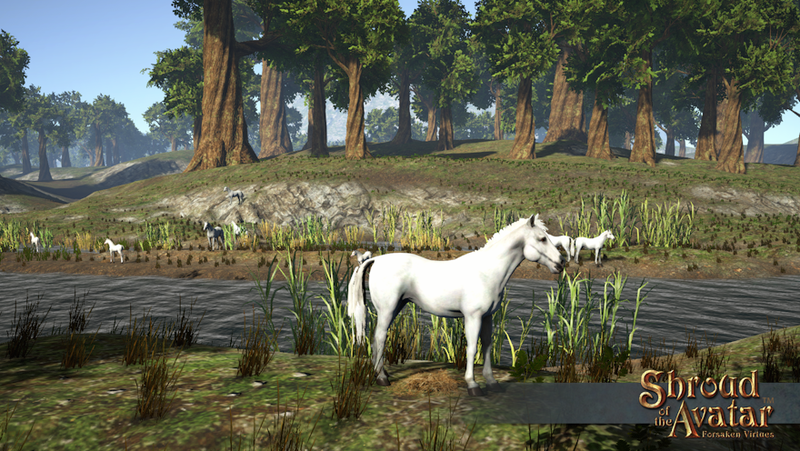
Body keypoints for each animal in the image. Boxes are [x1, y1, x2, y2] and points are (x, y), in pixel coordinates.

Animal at [347, 214, 564, 396]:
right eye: (542, 239)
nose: (561, 263)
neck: (487, 272)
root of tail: (376, 259)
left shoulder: (487, 317)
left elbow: (487, 347)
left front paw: (492, 382)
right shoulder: (473, 317)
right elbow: (472, 349)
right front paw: (473, 385)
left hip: (396, 308)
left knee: (376, 340)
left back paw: (382, 374)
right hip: (387, 310)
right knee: (380, 337)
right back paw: (382, 378)